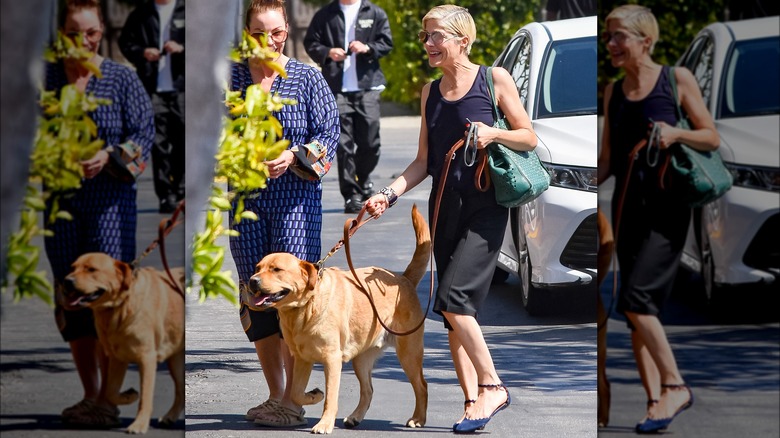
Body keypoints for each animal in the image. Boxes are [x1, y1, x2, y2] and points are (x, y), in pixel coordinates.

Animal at [63, 253, 184, 434]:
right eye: (72, 268)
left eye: (91, 269)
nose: (67, 281)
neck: (118, 308)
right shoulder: (117, 358)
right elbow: (110, 391)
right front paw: (129, 395)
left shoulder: (147, 359)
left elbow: (145, 397)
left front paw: (139, 424)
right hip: (176, 361)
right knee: (181, 390)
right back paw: (170, 416)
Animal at [244, 205, 430, 434]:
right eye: (257, 268)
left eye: (276, 269)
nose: (252, 281)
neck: (305, 309)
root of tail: (403, 278)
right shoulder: (302, 359)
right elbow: (296, 391)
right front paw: (313, 395)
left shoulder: (332, 360)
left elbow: (330, 398)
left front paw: (324, 423)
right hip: (361, 359)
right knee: (368, 390)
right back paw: (355, 417)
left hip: (408, 353)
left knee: (421, 386)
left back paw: (418, 418)